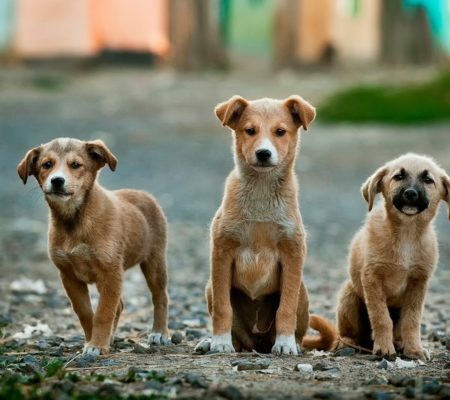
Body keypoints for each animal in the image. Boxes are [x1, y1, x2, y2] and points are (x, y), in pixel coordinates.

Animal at [16, 138, 170, 356]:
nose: (57, 181)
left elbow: (103, 313)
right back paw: (111, 337)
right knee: (120, 305)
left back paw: (159, 333)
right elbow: (86, 312)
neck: (75, 221)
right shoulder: (69, 276)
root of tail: (144, 194)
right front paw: (93, 341)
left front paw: (97, 344)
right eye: (47, 164)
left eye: (76, 165)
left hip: (154, 262)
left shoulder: (110, 272)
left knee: (160, 297)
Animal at [199, 97, 336, 356]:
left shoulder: (293, 253)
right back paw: (212, 342)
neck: (261, 193)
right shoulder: (221, 251)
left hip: (303, 292)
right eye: (250, 131)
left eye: (280, 132)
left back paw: (293, 343)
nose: (263, 153)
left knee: (297, 326)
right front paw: (220, 342)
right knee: (238, 337)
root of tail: (258, 343)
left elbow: (286, 308)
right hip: (210, 287)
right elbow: (223, 308)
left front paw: (285, 343)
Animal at [340, 155, 448, 360]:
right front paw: (384, 348)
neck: (407, 234)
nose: (411, 193)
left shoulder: (418, 282)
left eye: (428, 180)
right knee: (347, 334)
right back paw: (349, 344)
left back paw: (399, 343)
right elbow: (381, 317)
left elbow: (412, 320)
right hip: (348, 296)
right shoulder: (372, 278)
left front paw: (414, 349)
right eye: (398, 176)